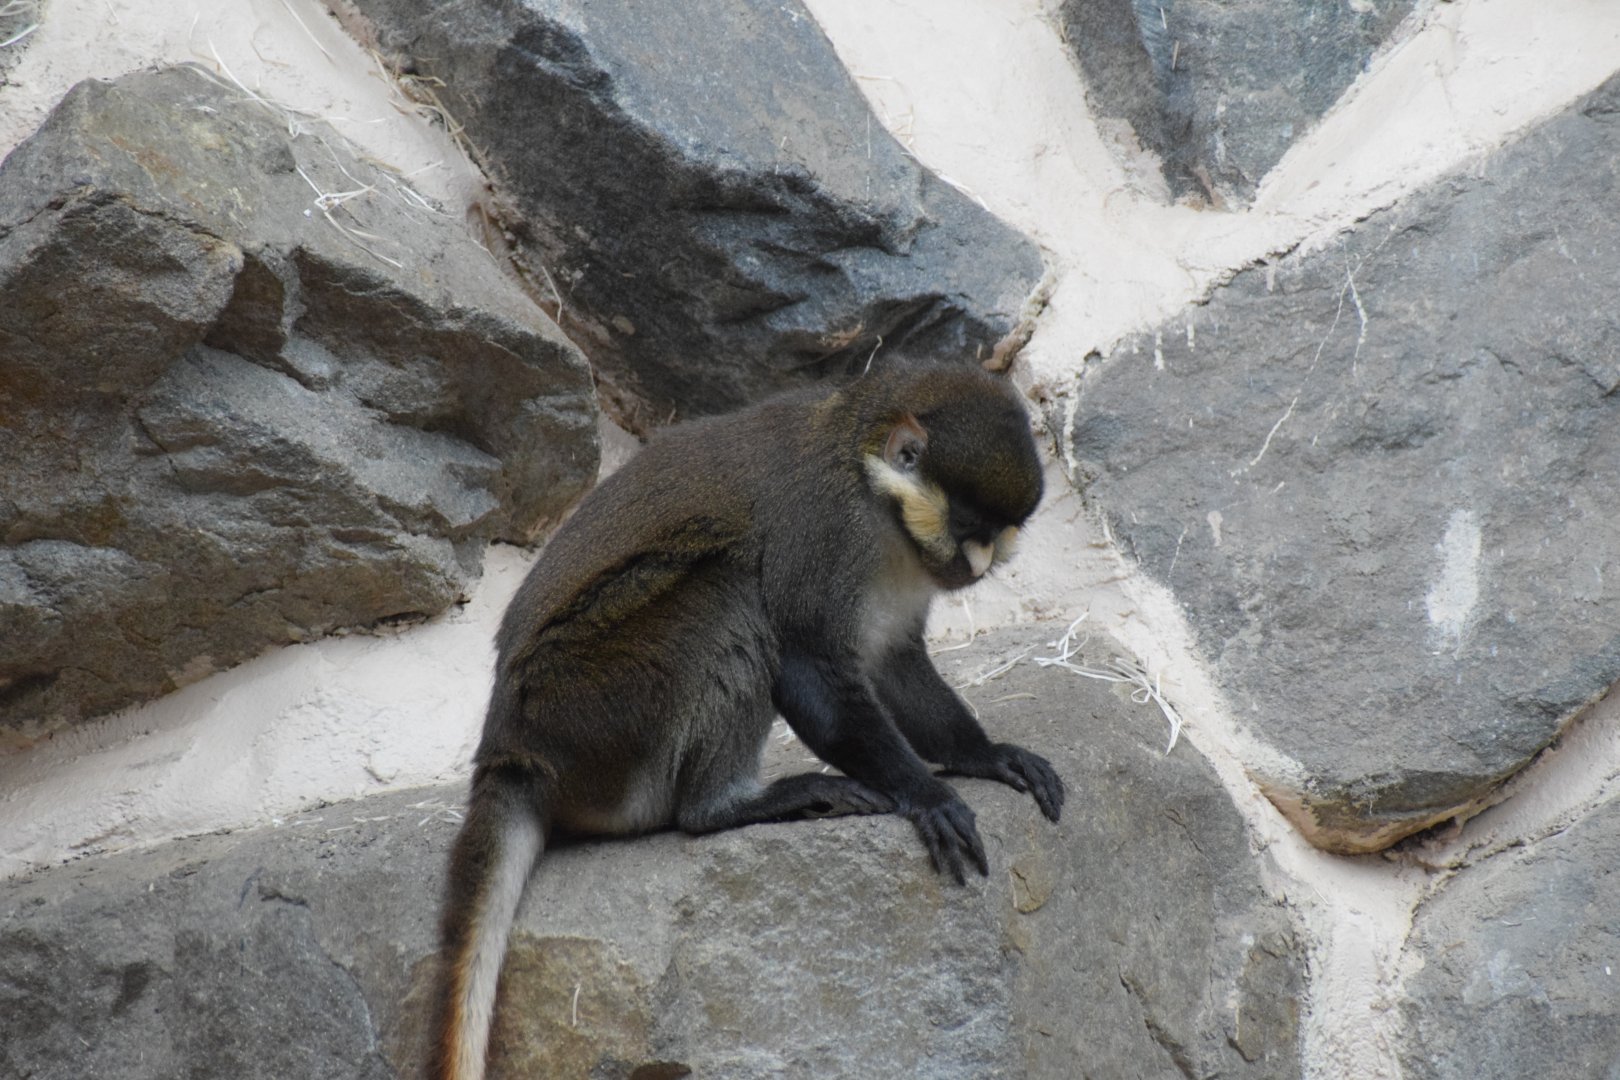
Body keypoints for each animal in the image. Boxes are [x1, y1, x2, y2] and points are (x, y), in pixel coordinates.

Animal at [431, 362, 1065, 1080]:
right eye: (970, 526)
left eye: (1001, 535)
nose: (981, 566)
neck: (872, 487)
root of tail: (510, 747)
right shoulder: (824, 529)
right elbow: (810, 668)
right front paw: (927, 794)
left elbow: (893, 665)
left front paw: (986, 754)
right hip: (588, 708)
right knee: (727, 590)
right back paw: (729, 804)